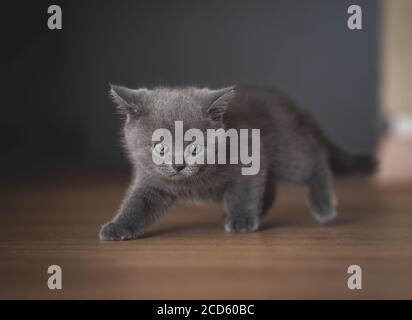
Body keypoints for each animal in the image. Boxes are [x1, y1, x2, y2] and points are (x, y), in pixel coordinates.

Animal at [100, 85, 376, 240]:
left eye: (195, 147)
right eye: (160, 147)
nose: (178, 165)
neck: (193, 180)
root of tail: (288, 102)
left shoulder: (249, 156)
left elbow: (243, 192)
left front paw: (242, 220)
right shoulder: (152, 180)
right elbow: (138, 204)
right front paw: (117, 226)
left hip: (287, 152)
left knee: (314, 158)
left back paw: (323, 205)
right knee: (270, 187)